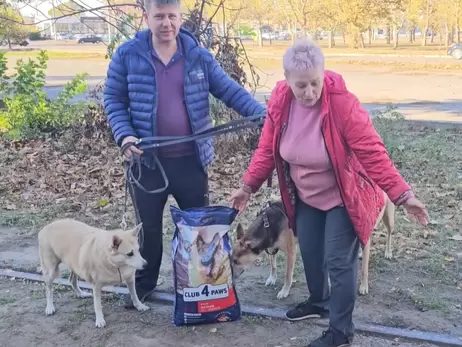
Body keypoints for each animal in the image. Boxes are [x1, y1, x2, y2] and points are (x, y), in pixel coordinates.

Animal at [230, 194, 394, 300]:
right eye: (230, 260)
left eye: (236, 262)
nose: (230, 279)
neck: (267, 223)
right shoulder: (271, 246)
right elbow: (273, 265)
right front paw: (272, 278)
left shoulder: (291, 252)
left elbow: (288, 275)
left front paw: (284, 291)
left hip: (387, 218)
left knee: (387, 235)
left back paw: (383, 258)